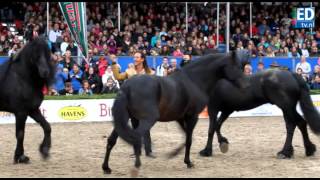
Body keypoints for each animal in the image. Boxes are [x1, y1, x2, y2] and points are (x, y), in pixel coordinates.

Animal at [102, 51, 248, 174]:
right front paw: (188, 162)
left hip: (125, 119)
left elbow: (186, 137)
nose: (245, 86)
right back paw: (136, 165)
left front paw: (173, 154)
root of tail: (127, 86)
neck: (194, 80)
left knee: (111, 140)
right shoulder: (192, 116)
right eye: (237, 67)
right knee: (136, 137)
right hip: (147, 119)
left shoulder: (180, 117)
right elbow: (189, 139)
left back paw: (106, 168)